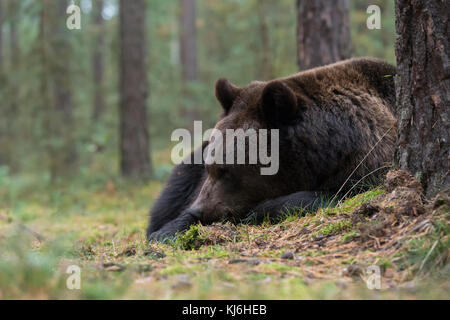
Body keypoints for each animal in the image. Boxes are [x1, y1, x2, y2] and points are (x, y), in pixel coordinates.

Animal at [146, 57, 396, 240]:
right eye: (210, 167)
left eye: (227, 170)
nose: (199, 209)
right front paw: (164, 233)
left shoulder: (368, 163)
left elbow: (332, 195)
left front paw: (261, 210)